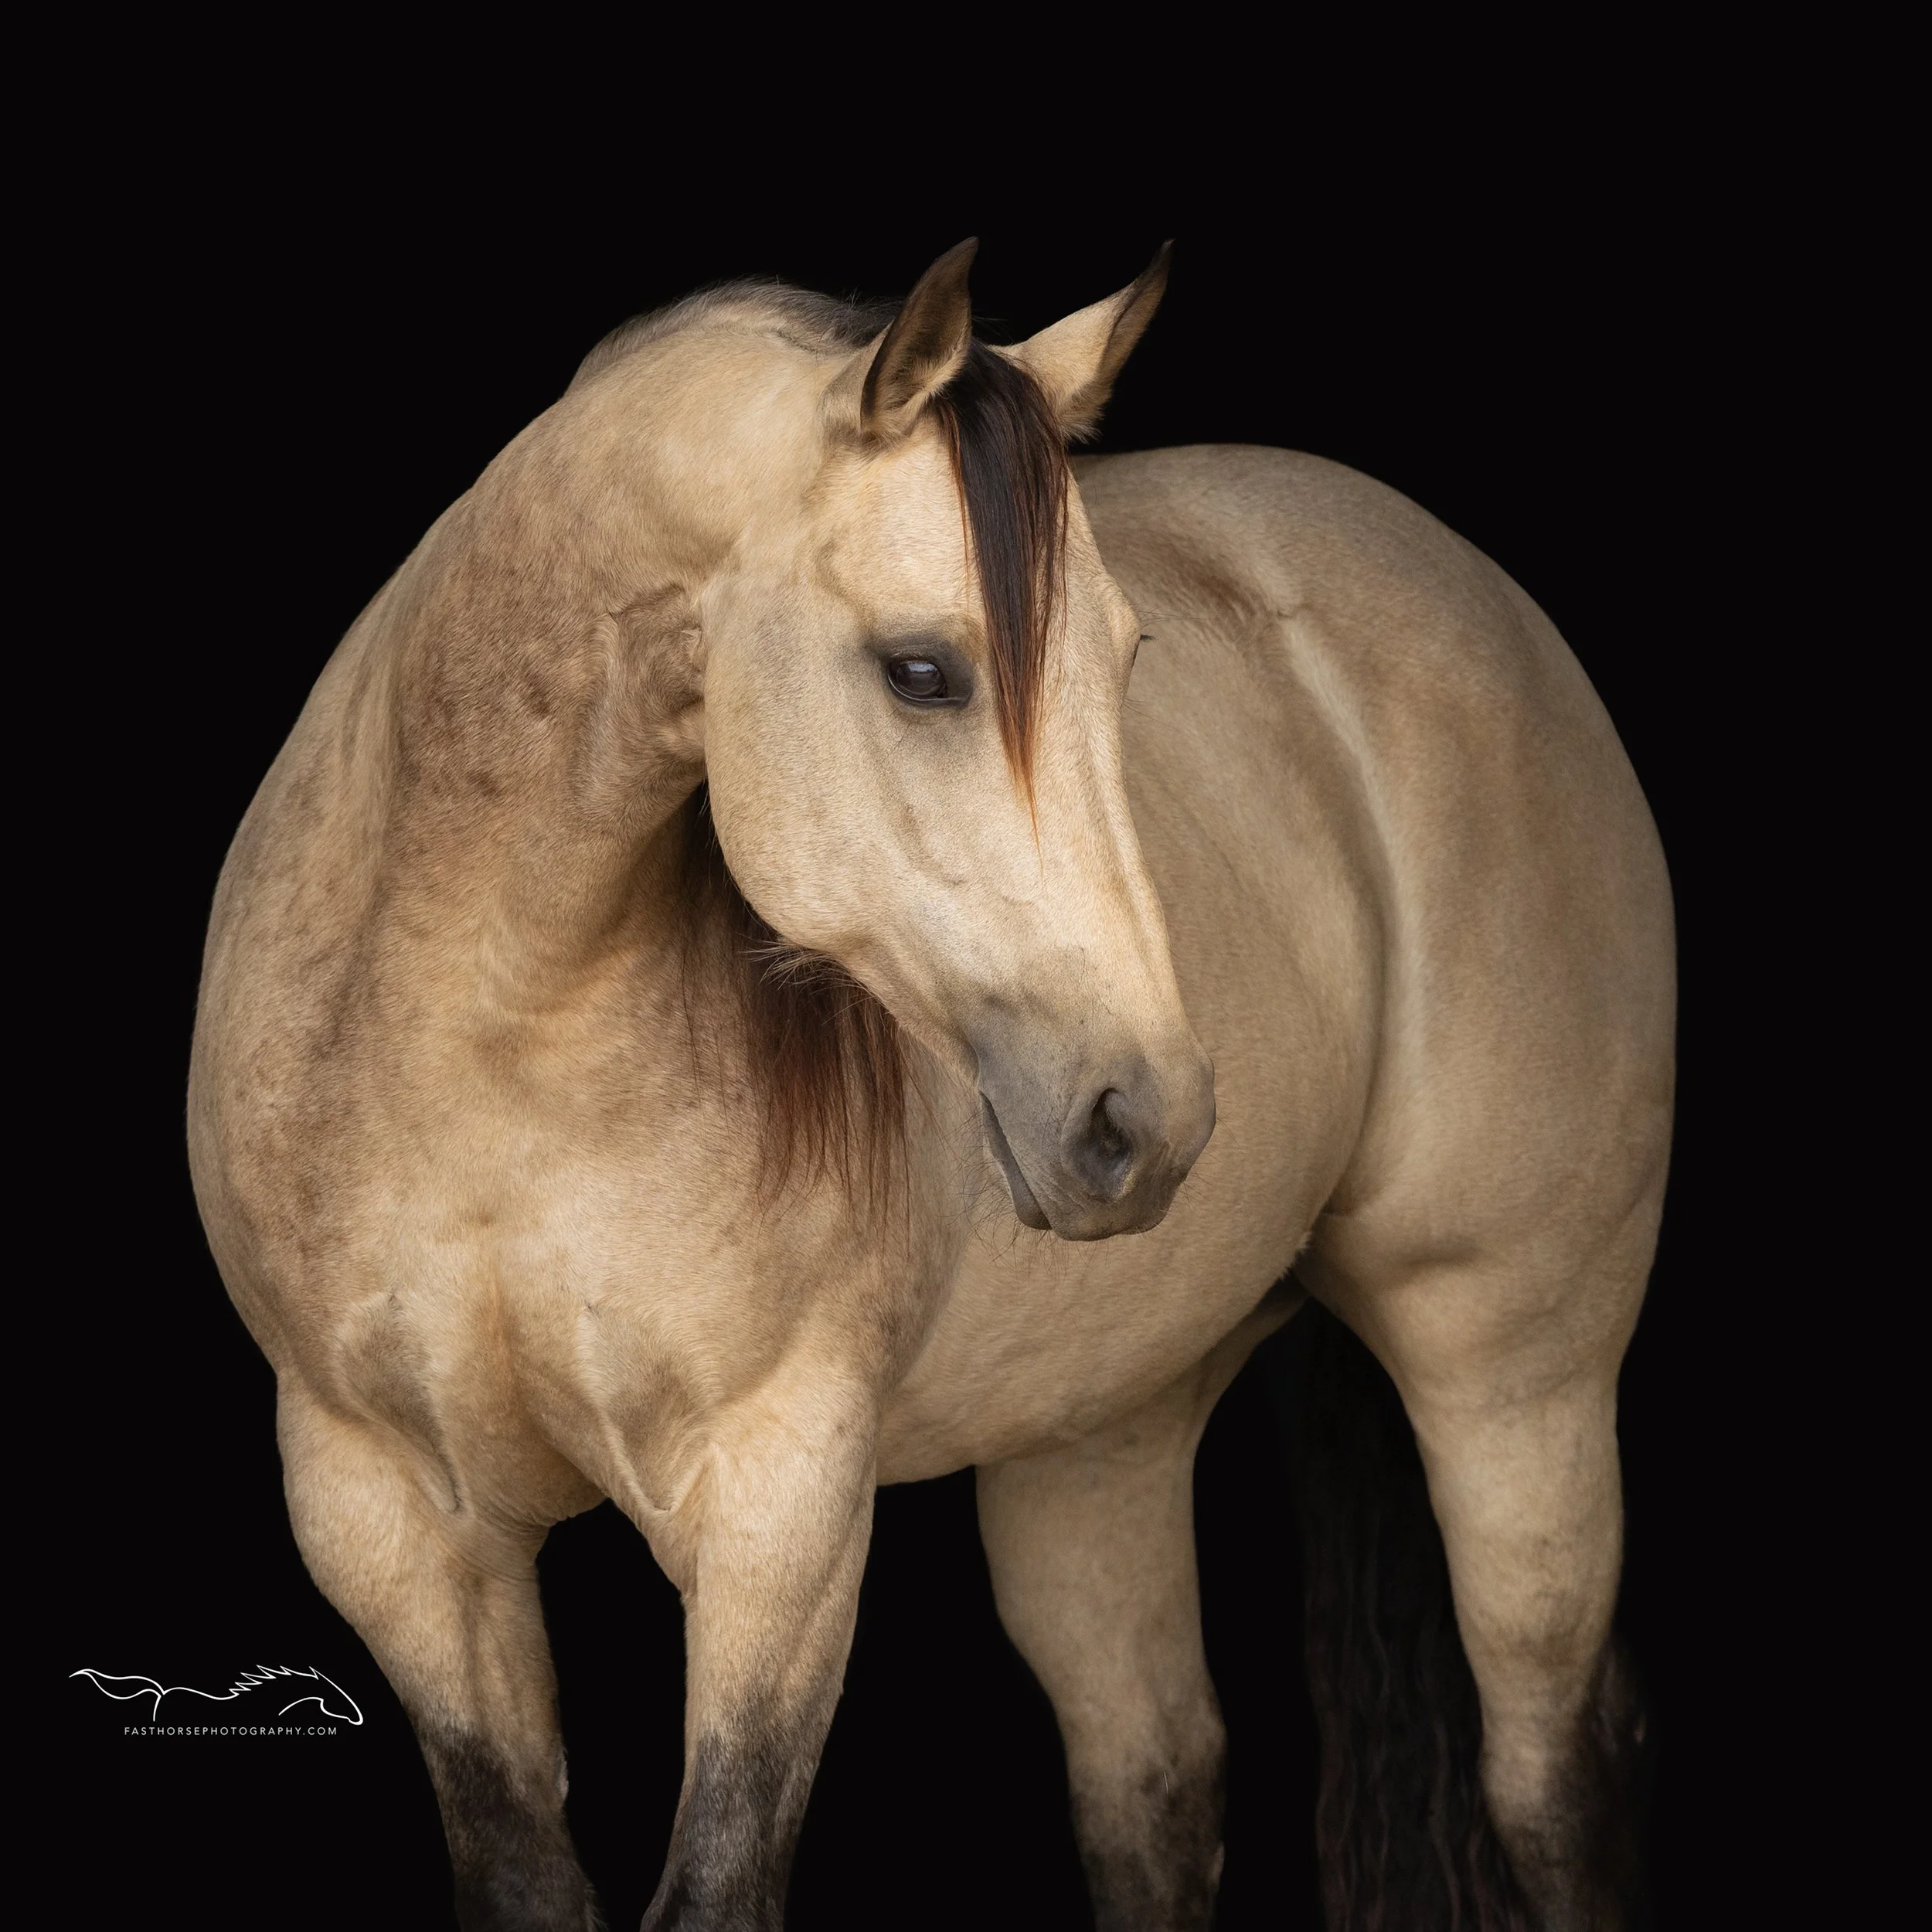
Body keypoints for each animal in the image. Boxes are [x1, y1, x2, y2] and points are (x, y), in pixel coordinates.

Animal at [187, 240, 1673, 1931]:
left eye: (1128, 660)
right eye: (921, 670)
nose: (1146, 1118)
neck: (492, 1043)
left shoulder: (779, 1506)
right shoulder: (391, 1521)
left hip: (1515, 1378)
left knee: (1549, 1790)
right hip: (1097, 1441)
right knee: (1156, 1791)